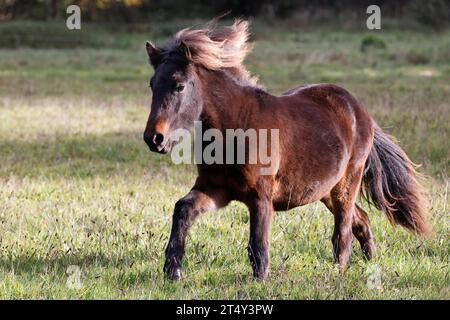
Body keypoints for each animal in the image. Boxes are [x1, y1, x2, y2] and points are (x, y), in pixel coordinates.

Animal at [142, 20, 430, 280]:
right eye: (152, 84)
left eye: (179, 85)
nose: (154, 139)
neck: (237, 128)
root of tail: (359, 109)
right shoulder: (216, 189)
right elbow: (183, 209)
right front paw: (172, 272)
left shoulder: (261, 196)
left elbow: (258, 245)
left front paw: (258, 281)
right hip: (326, 190)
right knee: (362, 220)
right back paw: (371, 263)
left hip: (347, 183)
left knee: (344, 231)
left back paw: (339, 272)